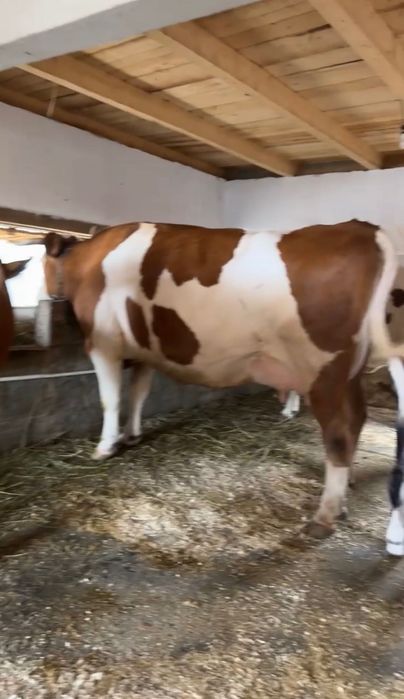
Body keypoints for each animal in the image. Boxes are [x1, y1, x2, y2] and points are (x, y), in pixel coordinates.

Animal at [41, 220, 404, 552]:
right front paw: (132, 435)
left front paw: (105, 447)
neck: (91, 262)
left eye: (37, 262)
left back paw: (325, 516)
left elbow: (110, 399)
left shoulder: (102, 344)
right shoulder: (143, 352)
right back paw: (342, 502)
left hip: (325, 372)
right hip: (349, 373)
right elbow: (138, 394)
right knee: (356, 420)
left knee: (339, 433)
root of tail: (360, 227)